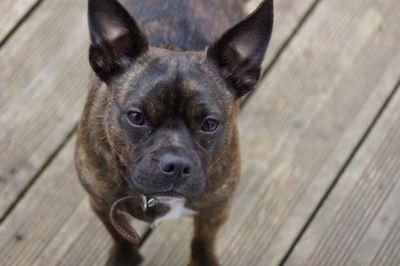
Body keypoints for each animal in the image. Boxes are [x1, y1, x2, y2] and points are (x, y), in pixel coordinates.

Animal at [74, 0, 276, 264]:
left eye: (210, 124)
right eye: (136, 117)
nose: (176, 164)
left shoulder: (216, 211)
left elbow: (203, 241)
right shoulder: (100, 203)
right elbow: (119, 235)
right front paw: (125, 257)